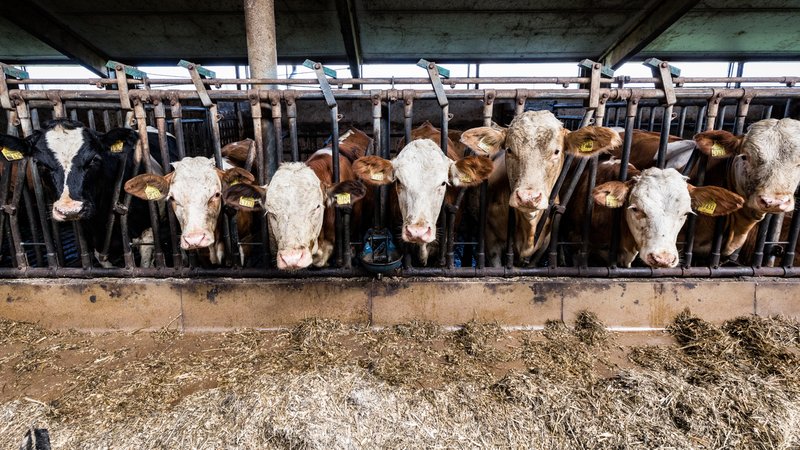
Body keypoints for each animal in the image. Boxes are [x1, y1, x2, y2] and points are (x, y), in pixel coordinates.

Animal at [0, 118, 159, 267]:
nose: (70, 210)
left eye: (94, 159)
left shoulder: (147, 232)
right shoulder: (96, 242)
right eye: (40, 164)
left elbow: (145, 263)